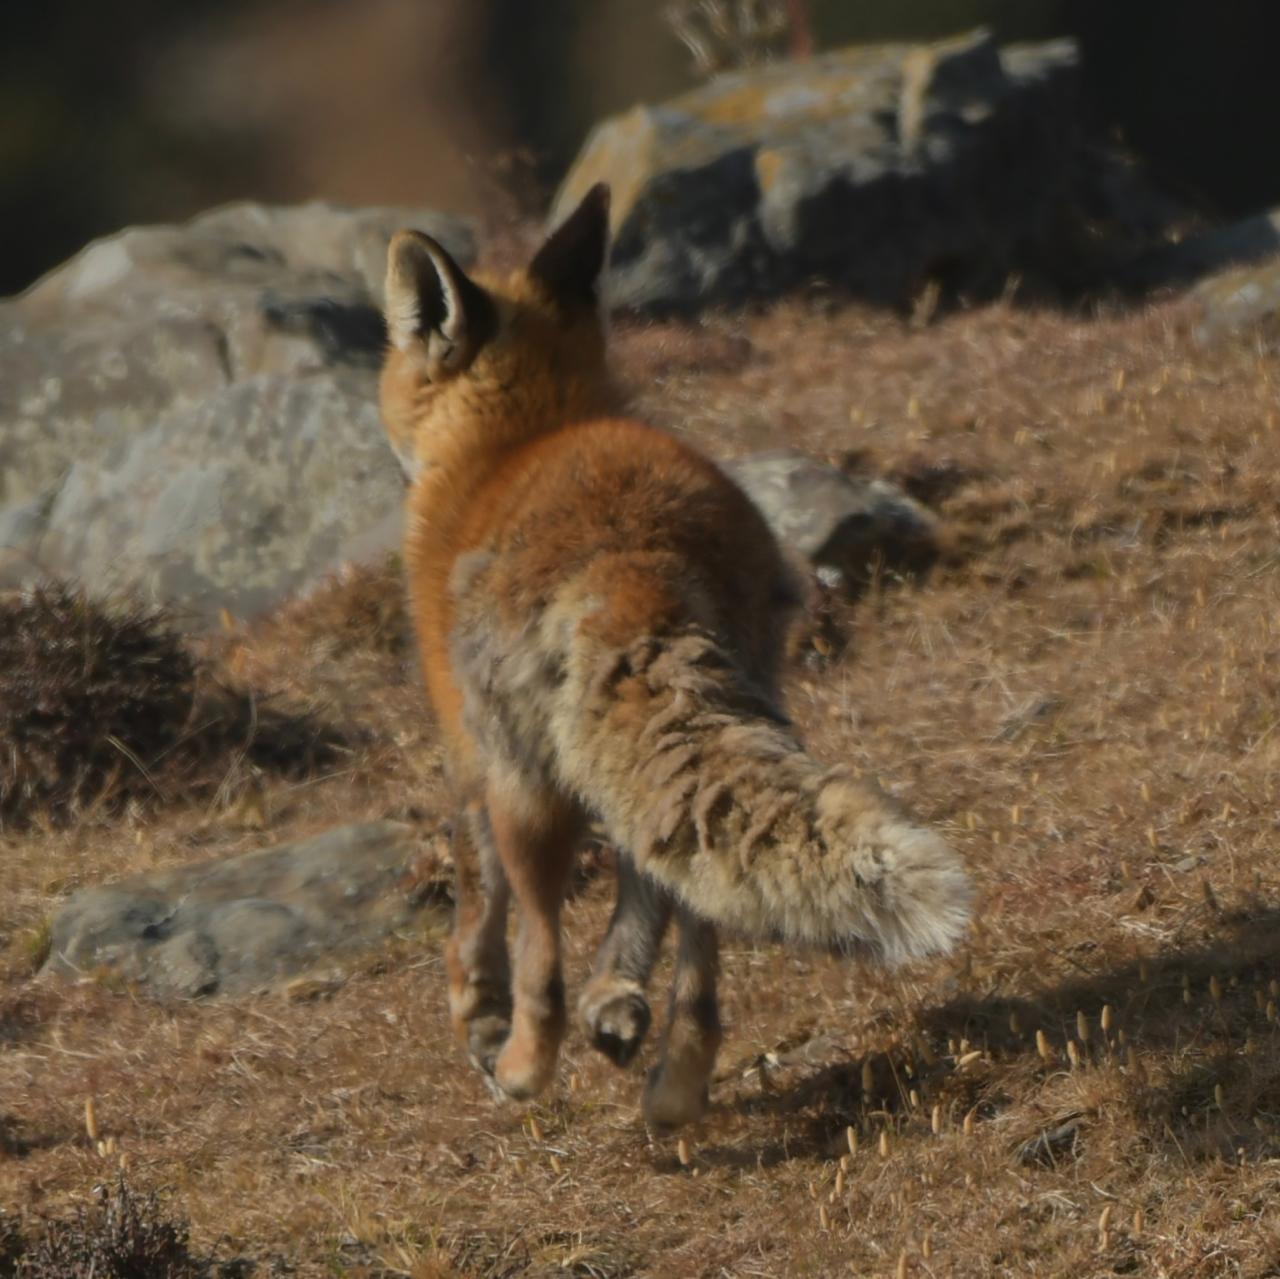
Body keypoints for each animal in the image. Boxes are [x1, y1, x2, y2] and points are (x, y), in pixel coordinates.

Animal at [378, 184, 971, 1128]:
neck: (511, 441)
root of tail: (635, 556)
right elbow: (642, 905)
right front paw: (618, 1000)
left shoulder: (471, 754)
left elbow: (480, 910)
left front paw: (480, 1014)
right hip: (736, 706)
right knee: (694, 921)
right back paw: (678, 1079)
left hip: (527, 785)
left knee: (545, 948)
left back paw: (526, 1064)